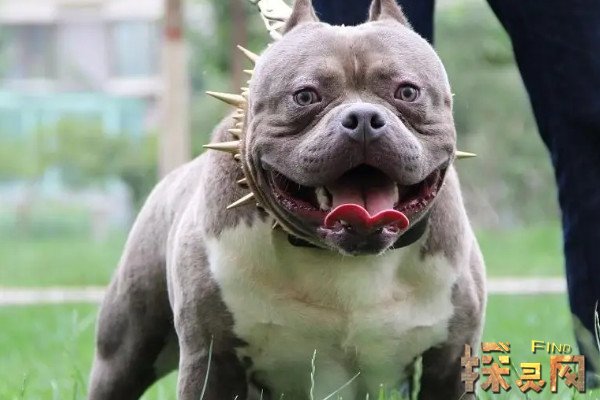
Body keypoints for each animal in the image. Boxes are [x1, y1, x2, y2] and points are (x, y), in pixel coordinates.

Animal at [88, 0, 485, 399]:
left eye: (407, 92)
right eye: (305, 96)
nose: (363, 118)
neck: (338, 257)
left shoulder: (450, 363)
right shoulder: (212, 359)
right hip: (126, 349)